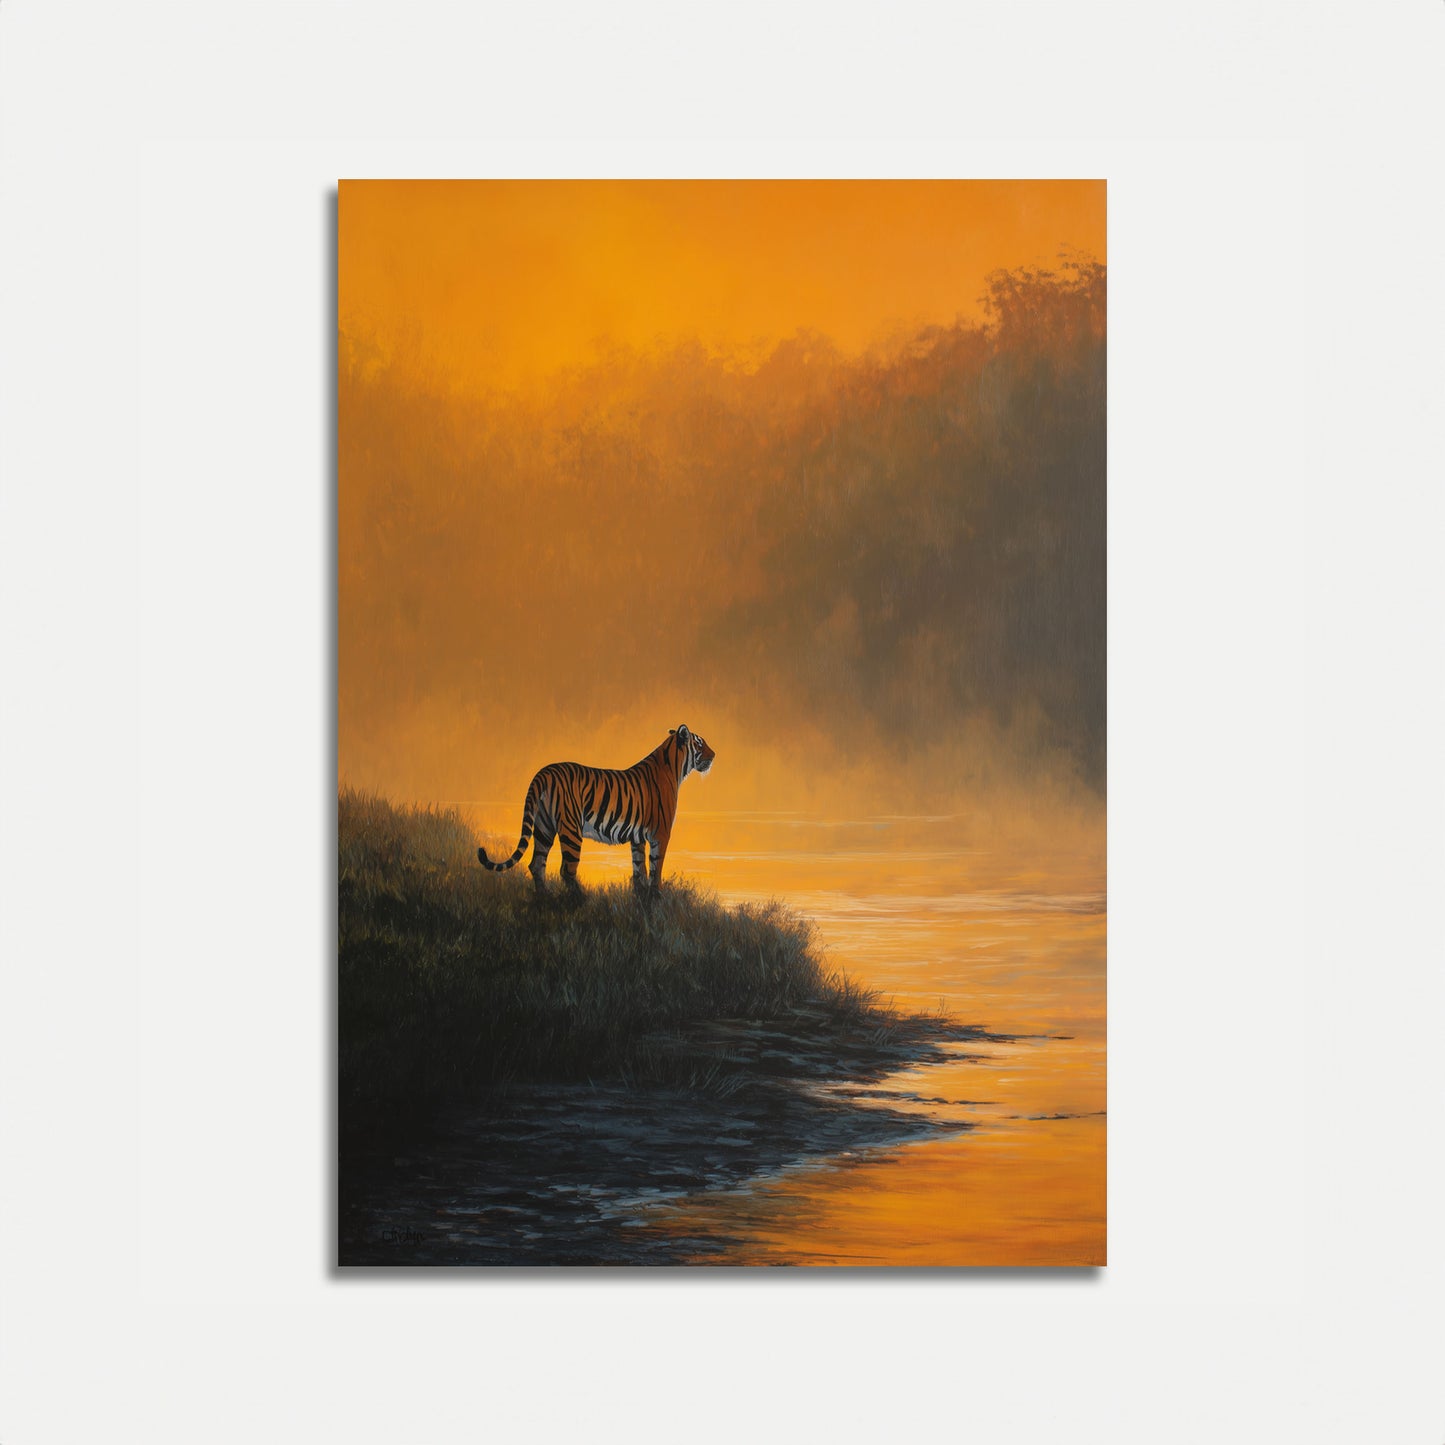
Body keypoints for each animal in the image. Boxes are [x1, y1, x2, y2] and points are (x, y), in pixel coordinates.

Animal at [478, 725, 716, 892]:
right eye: (700, 744)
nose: (714, 755)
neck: (675, 767)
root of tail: (543, 773)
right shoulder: (661, 833)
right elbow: (656, 869)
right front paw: (656, 896)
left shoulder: (638, 837)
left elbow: (639, 869)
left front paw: (641, 897)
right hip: (571, 829)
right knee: (567, 870)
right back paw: (579, 901)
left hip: (544, 826)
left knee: (537, 864)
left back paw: (544, 898)